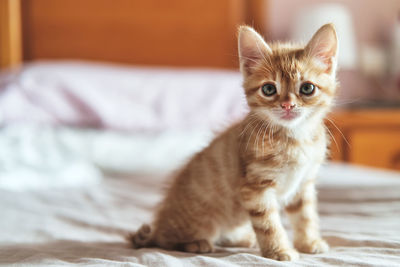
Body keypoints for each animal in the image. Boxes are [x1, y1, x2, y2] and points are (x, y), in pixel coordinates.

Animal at [131, 24, 338, 262]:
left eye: (307, 88)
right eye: (269, 89)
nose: (287, 105)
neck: (294, 137)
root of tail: (158, 225)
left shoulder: (303, 185)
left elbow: (305, 216)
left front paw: (308, 242)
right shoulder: (255, 188)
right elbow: (269, 224)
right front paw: (279, 251)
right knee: (165, 241)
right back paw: (196, 243)